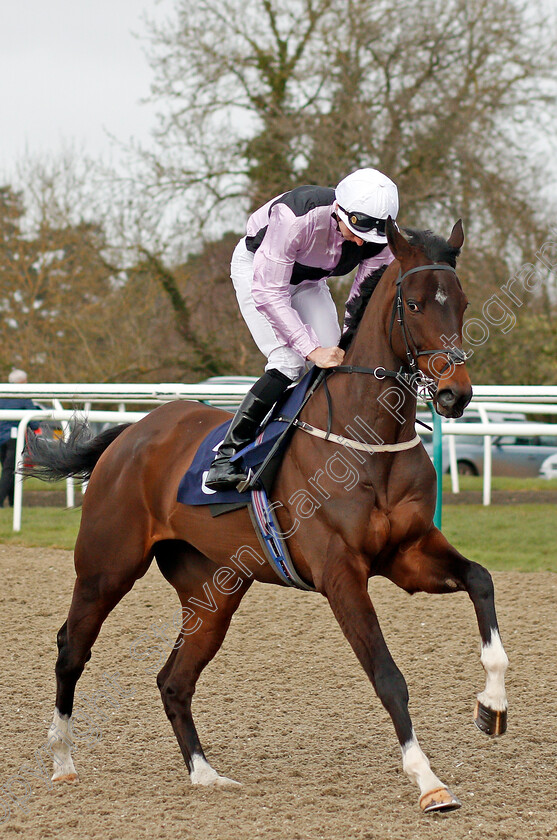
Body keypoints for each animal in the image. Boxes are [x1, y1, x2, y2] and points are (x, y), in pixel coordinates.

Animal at [25, 218, 508, 812]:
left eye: (462, 303)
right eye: (415, 304)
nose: (455, 394)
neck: (369, 439)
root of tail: (132, 432)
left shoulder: (408, 553)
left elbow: (481, 580)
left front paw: (492, 705)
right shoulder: (341, 573)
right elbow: (387, 675)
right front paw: (428, 780)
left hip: (213, 589)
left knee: (173, 679)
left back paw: (205, 773)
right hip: (105, 566)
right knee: (72, 649)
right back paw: (63, 759)